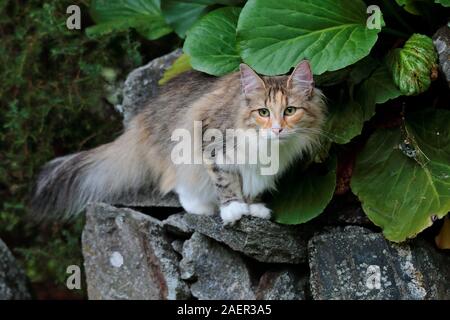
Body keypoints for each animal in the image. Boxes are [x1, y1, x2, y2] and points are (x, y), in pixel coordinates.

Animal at [32, 60, 326, 225]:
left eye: (290, 111)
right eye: (263, 112)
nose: (277, 129)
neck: (268, 147)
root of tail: (141, 119)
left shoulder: (261, 169)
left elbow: (251, 187)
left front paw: (253, 207)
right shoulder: (210, 141)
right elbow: (226, 181)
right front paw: (233, 209)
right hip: (179, 148)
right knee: (176, 182)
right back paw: (201, 206)